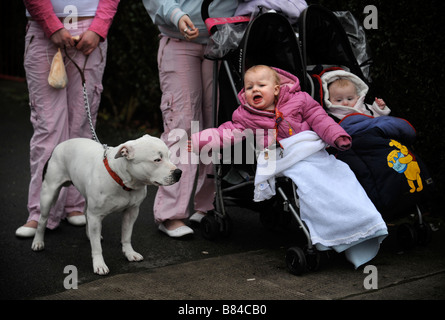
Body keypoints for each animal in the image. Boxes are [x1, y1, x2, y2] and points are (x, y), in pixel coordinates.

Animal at [31, 135, 181, 276]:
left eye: (170, 156)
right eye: (157, 160)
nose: (179, 172)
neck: (122, 180)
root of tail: (61, 144)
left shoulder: (131, 212)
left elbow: (126, 235)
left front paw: (129, 253)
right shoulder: (96, 216)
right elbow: (97, 247)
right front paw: (99, 264)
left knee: (86, 214)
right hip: (48, 193)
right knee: (42, 219)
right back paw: (38, 242)